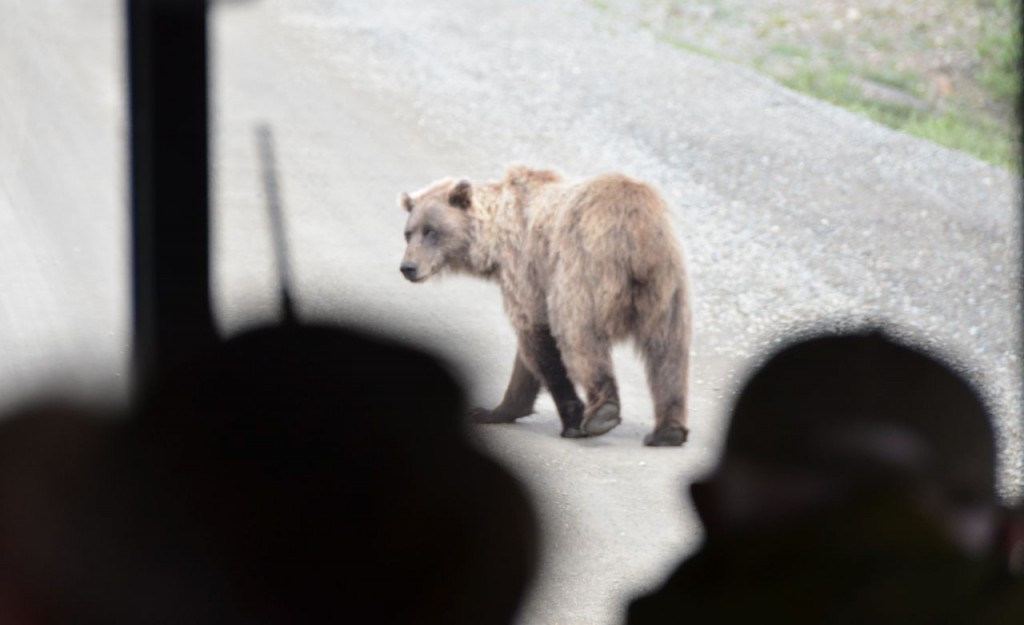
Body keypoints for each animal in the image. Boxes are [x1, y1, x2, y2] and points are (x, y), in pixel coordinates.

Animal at [398, 166, 691, 446]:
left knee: (581, 338)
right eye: (408, 233)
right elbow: (527, 358)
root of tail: (635, 229)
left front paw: (572, 420)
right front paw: (493, 411)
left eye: (431, 231)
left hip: (584, 270)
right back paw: (668, 431)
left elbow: (538, 339)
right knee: (667, 353)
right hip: (664, 287)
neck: (493, 241)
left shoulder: (526, 271)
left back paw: (602, 412)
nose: (408, 267)